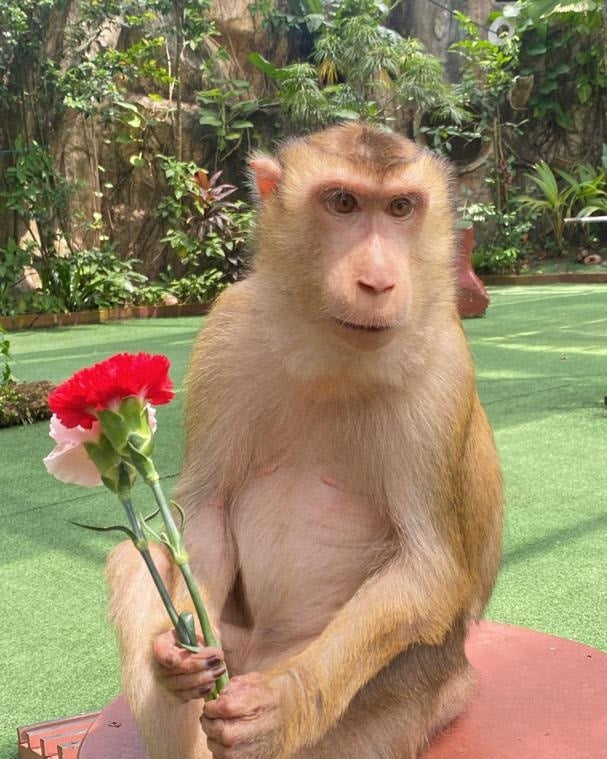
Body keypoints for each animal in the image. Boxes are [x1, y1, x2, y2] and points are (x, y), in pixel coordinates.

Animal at [106, 121, 503, 759]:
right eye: (342, 203)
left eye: (400, 207)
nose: (377, 281)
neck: (328, 357)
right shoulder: (227, 332)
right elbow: (204, 513)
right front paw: (175, 652)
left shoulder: (444, 371)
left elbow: (429, 568)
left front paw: (287, 702)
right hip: (237, 652)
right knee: (129, 558)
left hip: (428, 687)